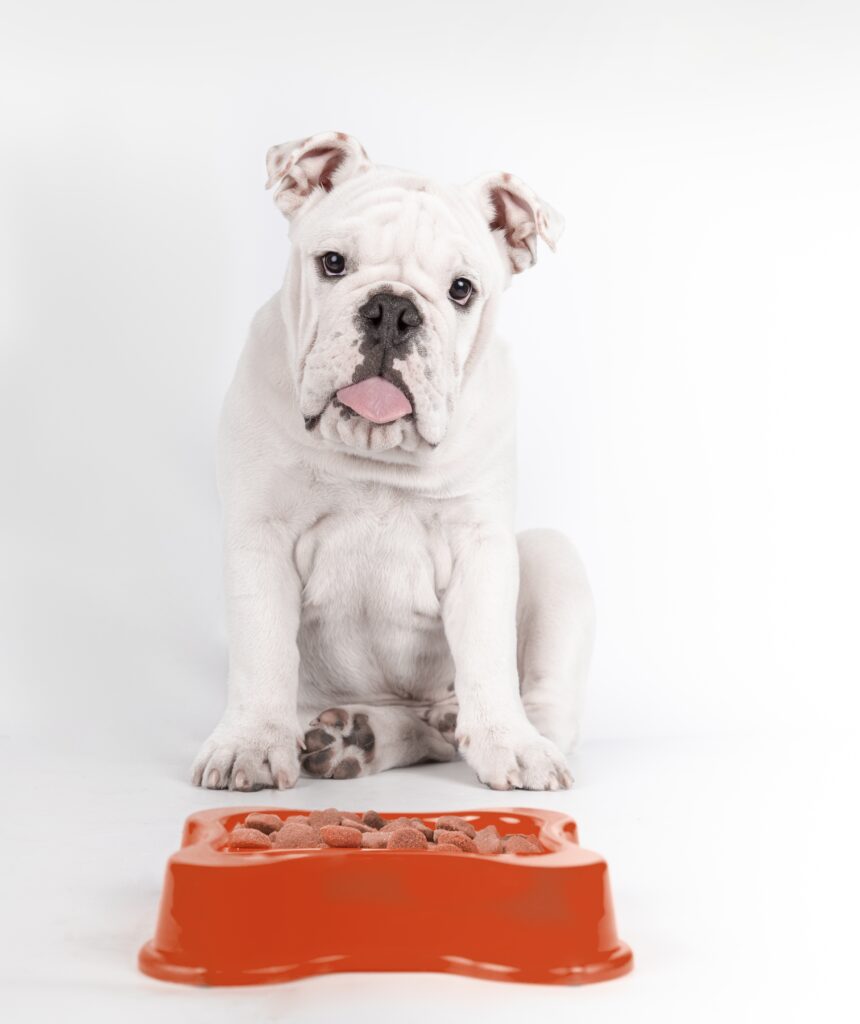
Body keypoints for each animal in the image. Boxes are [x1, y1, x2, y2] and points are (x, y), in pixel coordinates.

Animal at [191, 132, 593, 790]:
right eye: (333, 263)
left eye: (462, 289)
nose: (393, 312)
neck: (373, 450)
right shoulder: (260, 535)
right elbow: (263, 648)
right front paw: (249, 746)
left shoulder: (480, 545)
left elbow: (488, 654)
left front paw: (509, 744)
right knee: (429, 733)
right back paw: (360, 738)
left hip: (553, 559)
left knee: (530, 709)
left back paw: (495, 734)